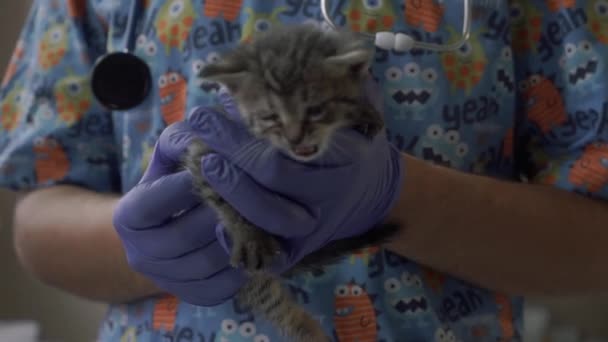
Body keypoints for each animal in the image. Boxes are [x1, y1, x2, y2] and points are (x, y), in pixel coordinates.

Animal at [182, 22, 400, 340]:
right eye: (270, 116)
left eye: (316, 110)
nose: (295, 138)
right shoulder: (203, 151)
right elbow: (221, 194)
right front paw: (248, 234)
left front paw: (363, 111)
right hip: (249, 277)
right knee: (272, 300)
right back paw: (309, 330)